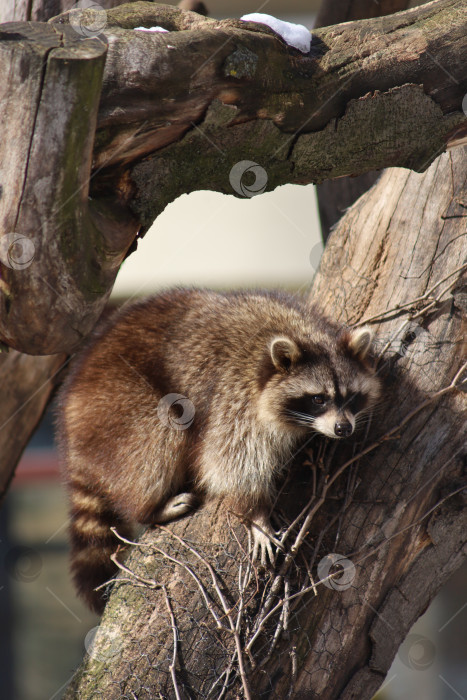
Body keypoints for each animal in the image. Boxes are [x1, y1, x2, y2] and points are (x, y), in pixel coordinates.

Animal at [56, 288, 382, 608]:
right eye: (318, 399)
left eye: (351, 397)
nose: (343, 428)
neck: (301, 334)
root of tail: (71, 424)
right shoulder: (234, 397)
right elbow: (231, 462)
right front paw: (257, 516)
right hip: (117, 401)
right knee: (158, 438)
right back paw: (150, 508)